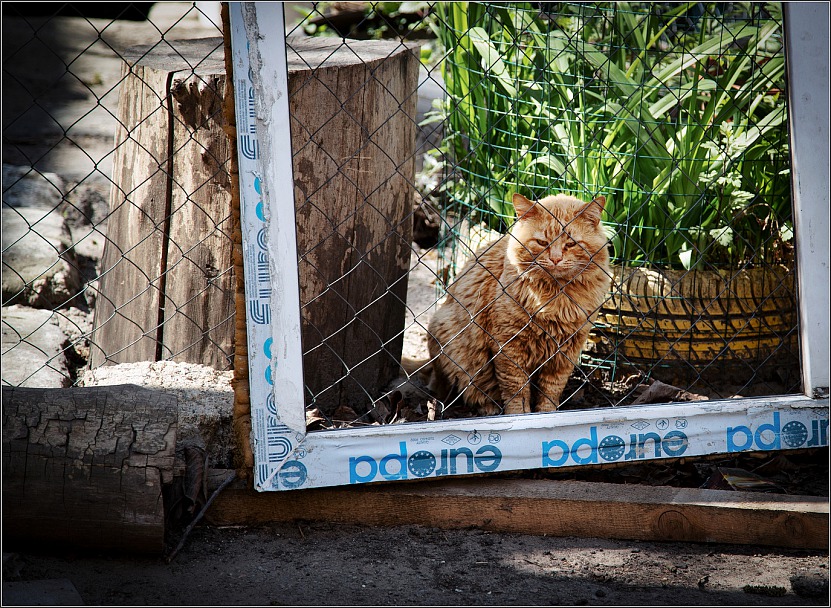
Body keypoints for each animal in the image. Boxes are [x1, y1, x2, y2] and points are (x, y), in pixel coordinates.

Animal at [428, 192, 612, 416]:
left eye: (570, 244)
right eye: (542, 242)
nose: (556, 259)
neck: (556, 298)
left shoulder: (566, 351)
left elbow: (551, 390)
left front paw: (546, 414)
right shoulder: (509, 346)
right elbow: (516, 390)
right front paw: (518, 415)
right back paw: (488, 407)